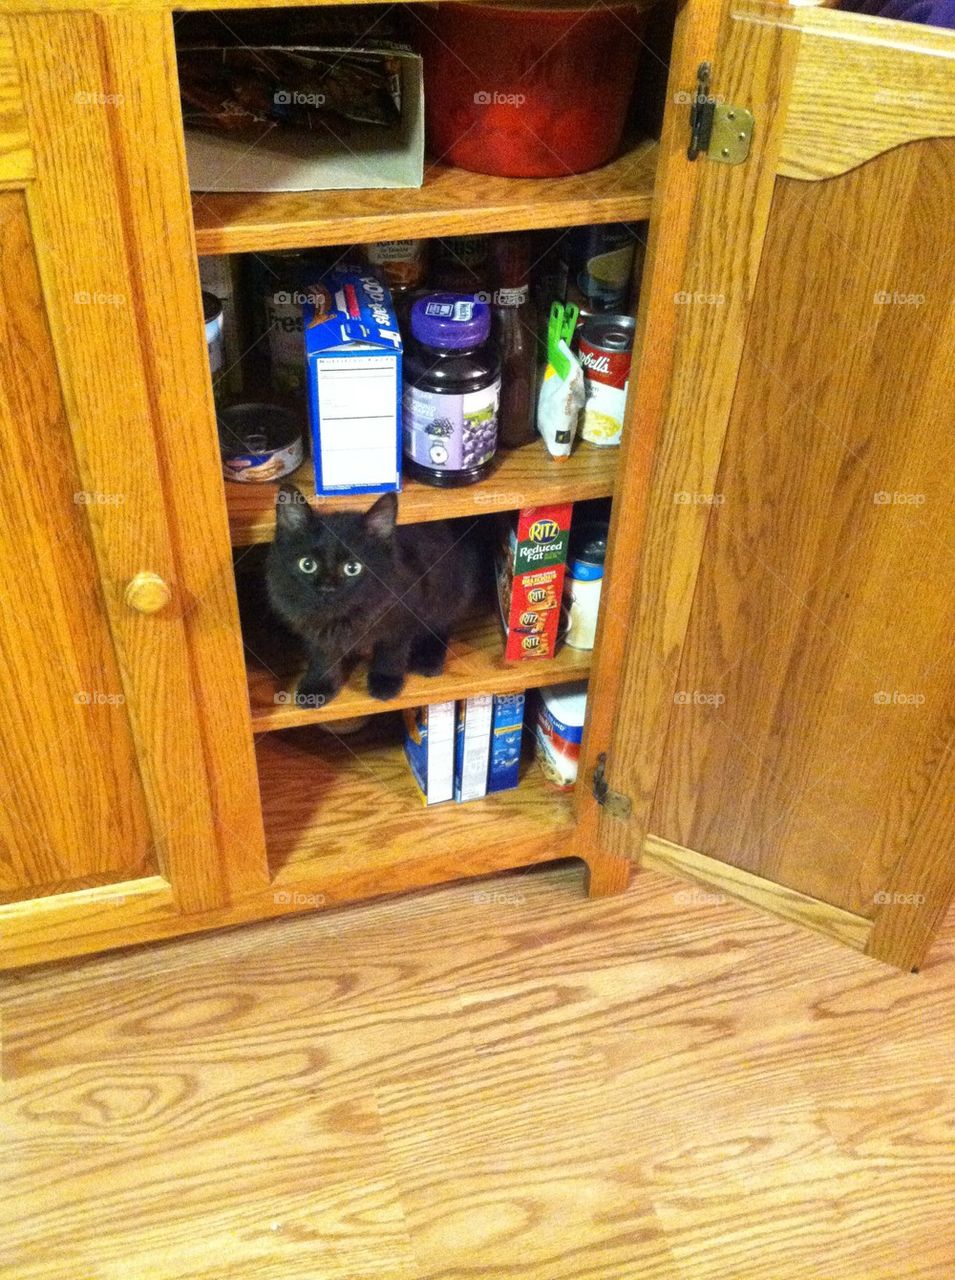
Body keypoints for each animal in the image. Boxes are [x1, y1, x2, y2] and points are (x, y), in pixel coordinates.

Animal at [263, 483, 478, 706]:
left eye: (352, 568)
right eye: (307, 565)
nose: (327, 588)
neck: (342, 619)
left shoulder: (403, 615)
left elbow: (390, 651)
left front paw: (385, 681)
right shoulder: (314, 629)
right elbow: (322, 655)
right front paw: (318, 685)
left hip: (447, 591)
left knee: (441, 625)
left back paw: (428, 659)